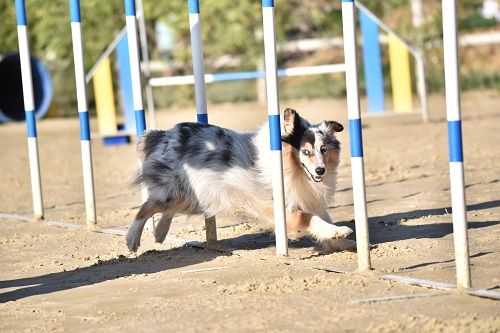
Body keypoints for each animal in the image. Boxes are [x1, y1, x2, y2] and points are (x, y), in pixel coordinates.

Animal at [127, 108, 354, 252]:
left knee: (167, 210)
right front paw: (339, 232)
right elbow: (311, 219)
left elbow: (324, 217)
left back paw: (159, 234)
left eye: (323, 149)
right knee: (145, 208)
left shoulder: (307, 197)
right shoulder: (281, 208)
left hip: (196, 195)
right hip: (177, 190)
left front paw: (344, 242)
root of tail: (166, 134)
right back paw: (132, 240)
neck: (293, 168)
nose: (320, 170)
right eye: (305, 151)